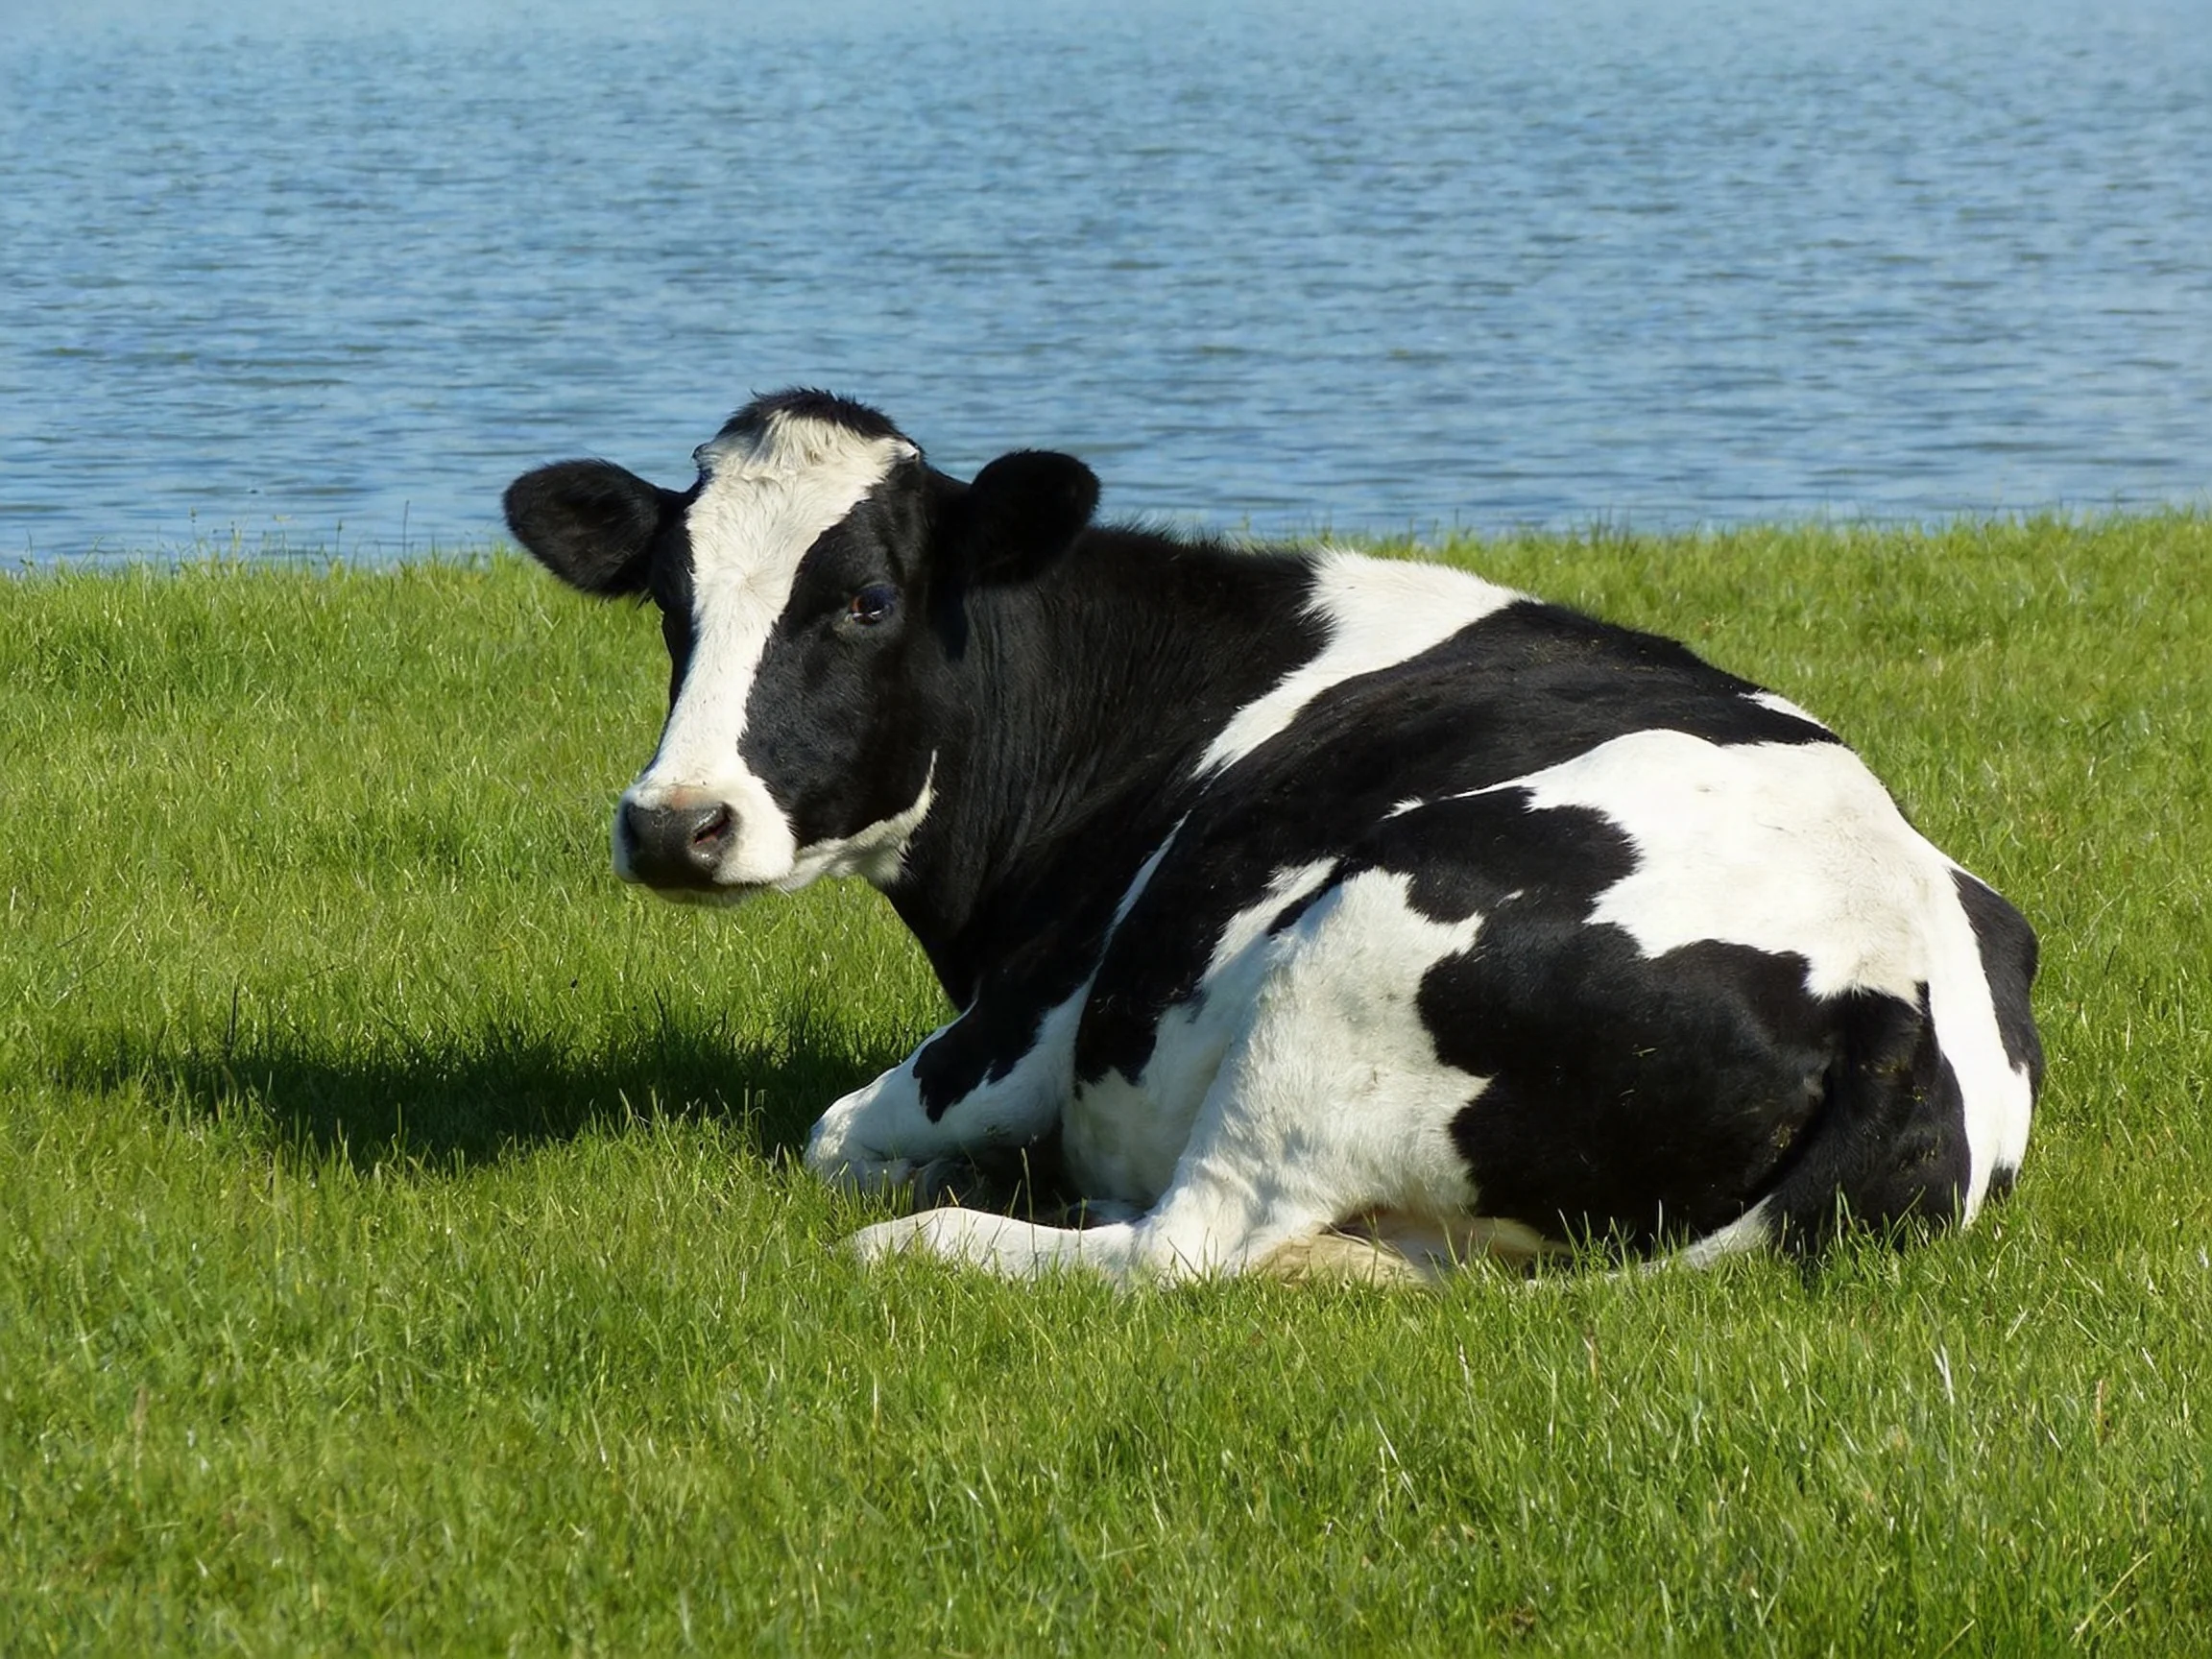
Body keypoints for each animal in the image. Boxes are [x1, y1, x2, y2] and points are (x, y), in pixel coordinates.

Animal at [503, 389, 2042, 1284]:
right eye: (670, 601)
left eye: (868, 601)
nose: (678, 823)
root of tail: (1888, 984)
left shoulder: (1032, 1024)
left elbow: (832, 1132)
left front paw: (930, 1180)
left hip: (1348, 960)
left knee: (1182, 1252)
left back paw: (933, 1238)